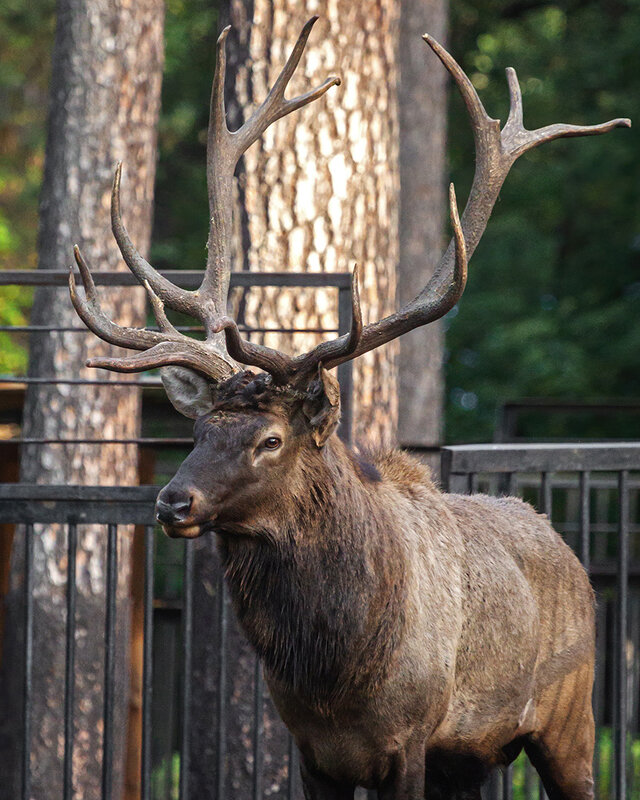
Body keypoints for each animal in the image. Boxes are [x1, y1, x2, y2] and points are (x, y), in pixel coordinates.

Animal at [67, 18, 628, 800]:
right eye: (200, 428)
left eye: (271, 440)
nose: (173, 502)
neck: (334, 675)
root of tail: (571, 555)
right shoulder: (312, 750)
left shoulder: (411, 741)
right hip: (472, 758)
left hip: (569, 721)